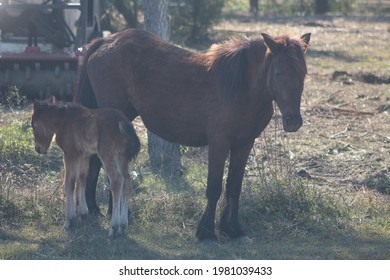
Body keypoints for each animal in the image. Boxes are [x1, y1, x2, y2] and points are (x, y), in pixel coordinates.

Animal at [30, 96, 140, 236]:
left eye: (33, 124)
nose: (38, 149)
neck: (64, 121)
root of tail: (123, 121)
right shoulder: (84, 155)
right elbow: (81, 179)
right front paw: (83, 214)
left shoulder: (70, 154)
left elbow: (69, 183)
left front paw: (68, 221)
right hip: (122, 157)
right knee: (127, 182)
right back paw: (122, 227)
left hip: (107, 155)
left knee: (117, 182)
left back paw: (113, 228)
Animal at [75, 28, 310, 241]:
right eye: (278, 72)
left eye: (303, 73)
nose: (293, 122)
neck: (241, 87)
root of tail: (106, 41)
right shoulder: (218, 143)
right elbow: (214, 188)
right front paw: (207, 232)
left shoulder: (244, 144)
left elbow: (234, 188)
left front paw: (233, 229)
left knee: (96, 161)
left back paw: (96, 209)